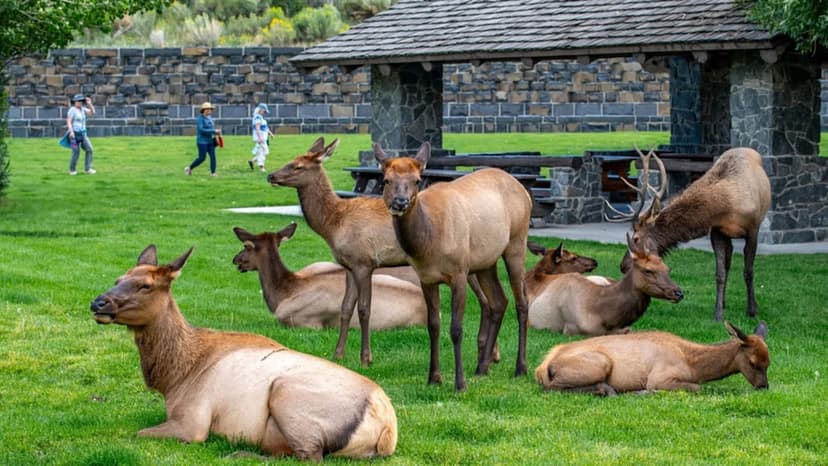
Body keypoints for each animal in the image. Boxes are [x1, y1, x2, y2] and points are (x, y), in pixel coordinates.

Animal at [89, 245, 397, 461]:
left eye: (146, 285)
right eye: (118, 278)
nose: (98, 302)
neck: (173, 378)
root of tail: (387, 429)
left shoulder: (192, 423)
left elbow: (135, 433)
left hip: (286, 394)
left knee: (310, 456)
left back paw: (238, 452)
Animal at [267, 137, 494, 368]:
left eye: (297, 166)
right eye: (291, 160)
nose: (271, 175)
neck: (333, 225)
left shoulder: (364, 262)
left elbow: (364, 309)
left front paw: (365, 358)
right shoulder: (348, 265)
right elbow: (345, 307)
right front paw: (338, 354)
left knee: (487, 301)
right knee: (487, 301)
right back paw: (489, 355)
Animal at [374, 141, 532, 392]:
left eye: (417, 180)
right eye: (386, 179)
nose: (400, 202)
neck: (428, 245)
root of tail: (524, 191)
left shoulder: (459, 272)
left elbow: (456, 329)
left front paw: (459, 383)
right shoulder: (426, 278)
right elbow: (433, 325)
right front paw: (433, 378)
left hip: (517, 242)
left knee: (522, 302)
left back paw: (520, 368)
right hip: (485, 261)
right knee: (499, 301)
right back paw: (482, 367)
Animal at [535, 321, 769, 396]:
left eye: (768, 363)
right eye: (753, 363)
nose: (763, 386)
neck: (694, 366)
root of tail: (542, 368)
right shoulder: (659, 377)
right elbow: (698, 388)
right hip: (601, 363)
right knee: (552, 388)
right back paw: (607, 389)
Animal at [609, 147, 771, 321]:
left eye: (636, 238)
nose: (623, 265)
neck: (728, 206)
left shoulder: (753, 229)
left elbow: (748, 271)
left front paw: (752, 311)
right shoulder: (717, 231)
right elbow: (719, 273)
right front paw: (718, 313)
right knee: (727, 264)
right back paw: (724, 302)